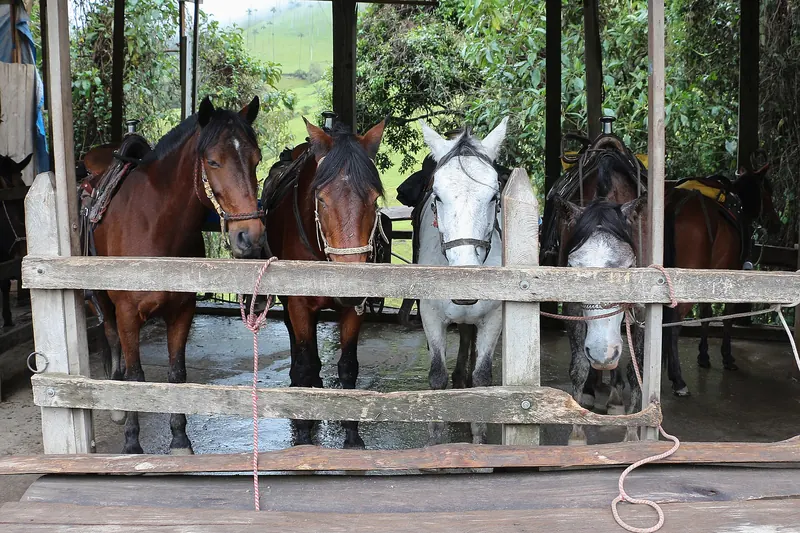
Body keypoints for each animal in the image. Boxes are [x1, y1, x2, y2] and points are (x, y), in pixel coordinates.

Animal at [91, 96, 265, 454]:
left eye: (256, 160)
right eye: (212, 161)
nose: (250, 237)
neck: (156, 226)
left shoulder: (182, 311)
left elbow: (176, 375)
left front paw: (180, 440)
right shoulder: (128, 313)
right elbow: (137, 377)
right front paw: (132, 443)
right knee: (111, 336)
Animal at [261, 118, 386, 448]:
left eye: (374, 199)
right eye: (321, 198)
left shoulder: (355, 309)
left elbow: (348, 367)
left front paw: (352, 435)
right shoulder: (299, 304)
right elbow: (306, 361)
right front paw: (304, 432)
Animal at [416, 117, 508, 445]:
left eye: (494, 196)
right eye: (437, 195)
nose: (464, 284)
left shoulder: (493, 319)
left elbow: (482, 378)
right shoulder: (430, 316)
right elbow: (436, 376)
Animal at [541, 132, 648, 445]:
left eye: (628, 268)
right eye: (573, 269)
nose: (603, 352)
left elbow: (634, 367)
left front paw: (632, 435)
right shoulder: (572, 306)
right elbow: (579, 366)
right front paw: (577, 434)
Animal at [663, 164, 782, 396]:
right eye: (769, 192)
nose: (776, 224)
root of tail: (676, 204)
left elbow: (706, 313)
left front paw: (703, 355)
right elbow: (727, 316)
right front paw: (727, 357)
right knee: (674, 322)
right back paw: (678, 380)